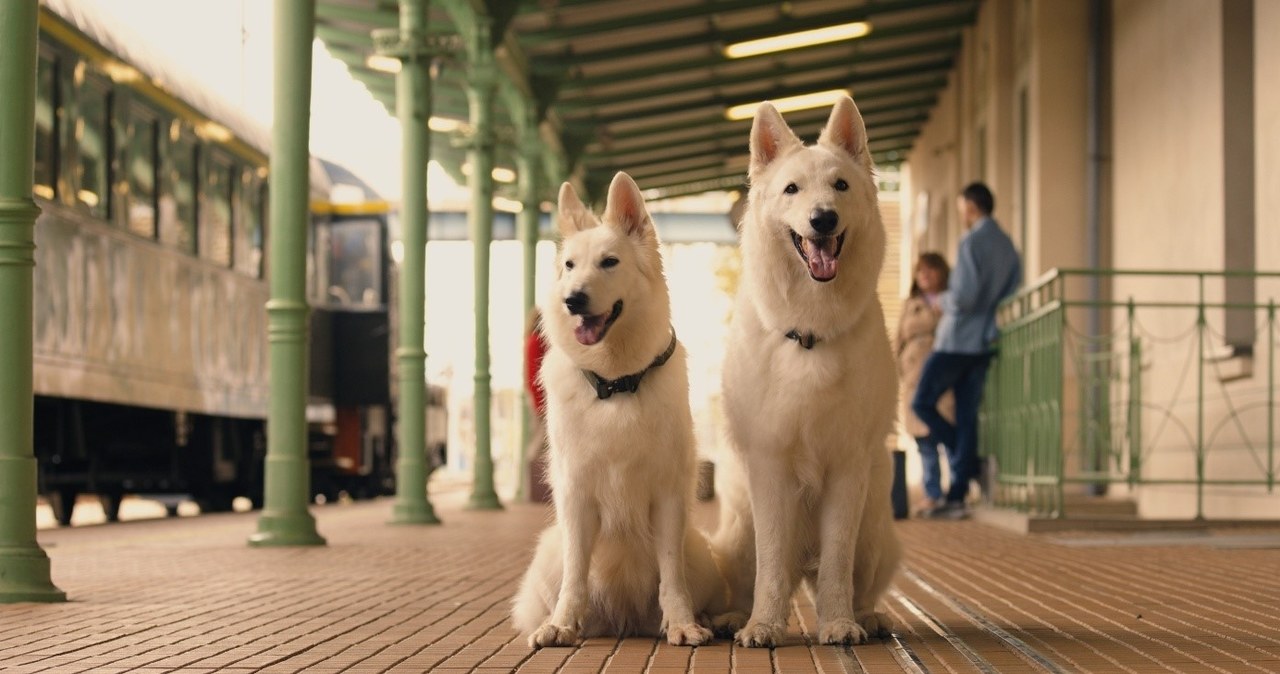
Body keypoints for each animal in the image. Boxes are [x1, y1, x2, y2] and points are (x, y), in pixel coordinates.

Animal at [512, 172, 732, 649]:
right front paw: (560, 624)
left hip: (700, 552)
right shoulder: (576, 497)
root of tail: (625, 620)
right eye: (570, 266)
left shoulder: (668, 497)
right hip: (548, 551)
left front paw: (683, 623)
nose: (573, 299)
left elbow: (672, 577)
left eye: (609, 262)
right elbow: (575, 576)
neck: (614, 384)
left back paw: (716, 619)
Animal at [716, 96, 906, 649]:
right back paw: (735, 617)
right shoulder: (769, 465)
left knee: (854, 578)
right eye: (792, 190)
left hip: (877, 527)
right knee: (753, 574)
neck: (810, 330)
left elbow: (837, 559)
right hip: (736, 529)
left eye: (840, 185)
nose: (823, 219)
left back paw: (866, 617)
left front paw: (839, 622)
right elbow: (772, 562)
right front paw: (763, 625)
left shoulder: (847, 467)